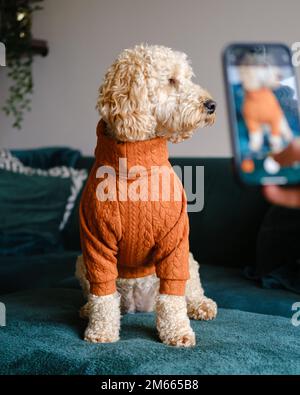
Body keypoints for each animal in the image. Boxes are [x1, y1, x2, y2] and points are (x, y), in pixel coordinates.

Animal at [77, 42, 217, 346]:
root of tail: (140, 305)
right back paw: (87, 309)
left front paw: (178, 331)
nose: (211, 105)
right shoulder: (95, 239)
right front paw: (101, 330)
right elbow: (103, 296)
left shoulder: (175, 238)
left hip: (188, 260)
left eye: (187, 77)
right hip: (81, 262)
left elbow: (173, 299)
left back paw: (201, 305)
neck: (135, 167)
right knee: (104, 296)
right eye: (171, 80)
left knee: (189, 291)